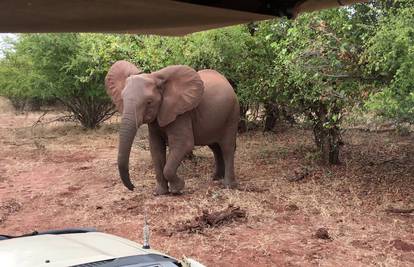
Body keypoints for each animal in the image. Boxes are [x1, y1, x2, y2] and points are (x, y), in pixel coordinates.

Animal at [105, 60, 239, 195]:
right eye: (122, 99)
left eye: (149, 102)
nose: (133, 187)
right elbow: (156, 148)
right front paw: (160, 192)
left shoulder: (181, 114)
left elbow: (183, 144)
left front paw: (177, 189)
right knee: (215, 147)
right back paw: (215, 178)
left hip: (232, 115)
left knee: (227, 147)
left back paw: (228, 185)